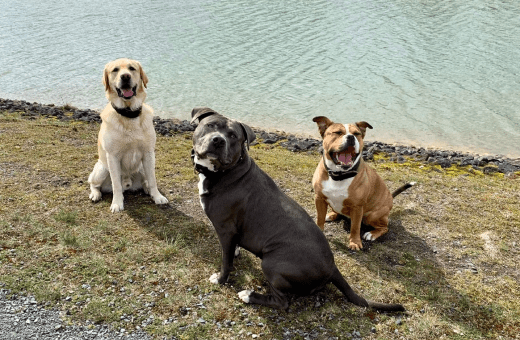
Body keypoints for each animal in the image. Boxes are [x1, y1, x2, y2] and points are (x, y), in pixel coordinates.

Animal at [88, 58, 168, 212]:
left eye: (132, 68)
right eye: (115, 70)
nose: (125, 77)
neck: (129, 114)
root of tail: (128, 184)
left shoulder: (149, 153)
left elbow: (153, 180)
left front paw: (157, 196)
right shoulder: (112, 156)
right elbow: (116, 185)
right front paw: (117, 203)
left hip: (141, 167)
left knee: (146, 181)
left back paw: (147, 190)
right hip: (102, 168)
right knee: (94, 183)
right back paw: (95, 194)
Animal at [312, 116, 414, 250]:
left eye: (357, 134)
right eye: (338, 132)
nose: (351, 137)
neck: (339, 175)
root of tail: (390, 198)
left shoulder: (357, 207)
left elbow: (355, 227)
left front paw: (355, 242)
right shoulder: (319, 199)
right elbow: (320, 219)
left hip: (372, 215)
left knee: (384, 227)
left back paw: (372, 234)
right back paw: (331, 215)